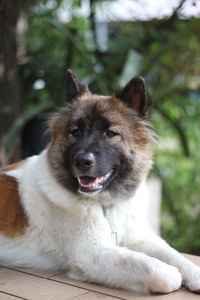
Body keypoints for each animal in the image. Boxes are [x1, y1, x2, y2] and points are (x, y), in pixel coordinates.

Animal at [0, 71, 200, 296]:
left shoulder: (139, 237)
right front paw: (172, 274)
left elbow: (173, 254)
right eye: (75, 132)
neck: (106, 205)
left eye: (111, 133)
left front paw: (194, 273)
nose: (82, 161)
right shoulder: (90, 254)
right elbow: (158, 270)